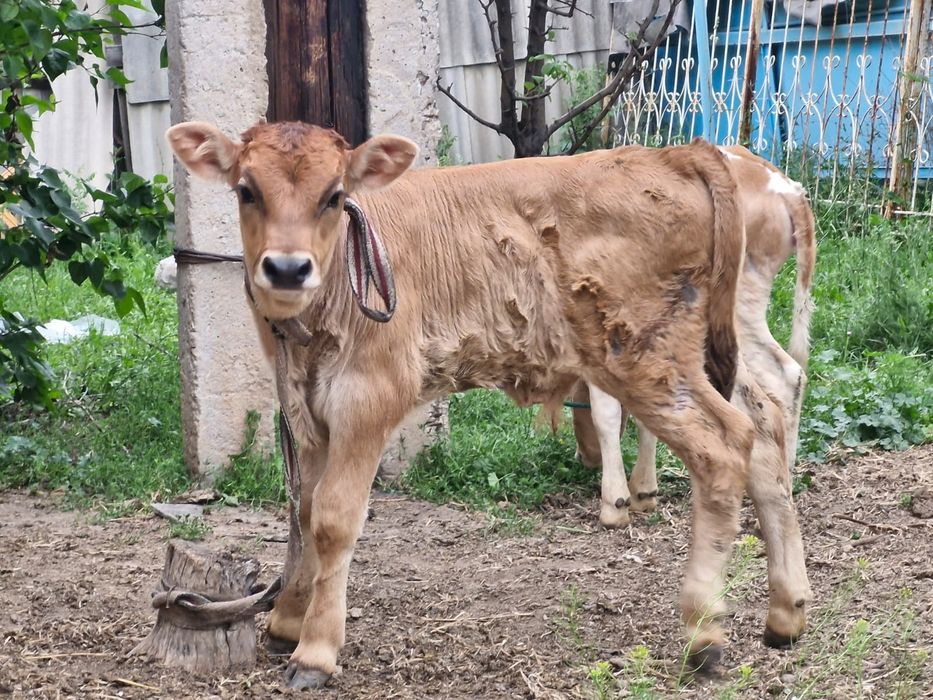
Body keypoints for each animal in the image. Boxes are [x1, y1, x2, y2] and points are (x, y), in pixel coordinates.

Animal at [572, 146, 816, 532]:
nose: (583, 456)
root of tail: (785, 187)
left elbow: (607, 413)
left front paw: (615, 503)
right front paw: (645, 490)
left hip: (736, 311)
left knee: (781, 375)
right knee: (791, 375)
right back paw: (784, 475)